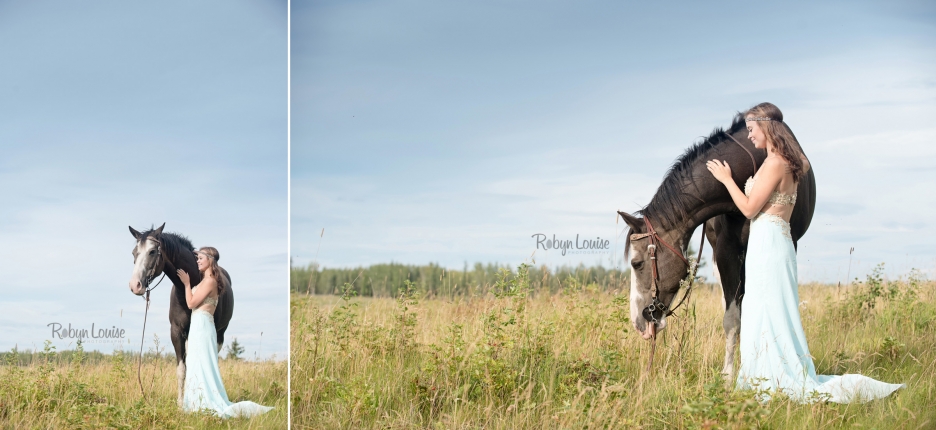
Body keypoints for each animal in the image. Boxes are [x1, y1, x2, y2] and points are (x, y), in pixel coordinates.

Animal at [128, 223, 234, 404]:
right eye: (134, 252)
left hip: (220, 332)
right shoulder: (176, 332)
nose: (135, 285)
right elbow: (181, 370)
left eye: (152, 251)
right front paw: (180, 403)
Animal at [616, 112, 816, 378]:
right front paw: (730, 374)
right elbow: (732, 318)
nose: (638, 322)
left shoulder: (787, 243)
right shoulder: (725, 252)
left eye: (637, 264)